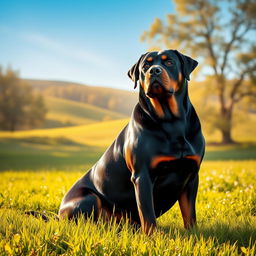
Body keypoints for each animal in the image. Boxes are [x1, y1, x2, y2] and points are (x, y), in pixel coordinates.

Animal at [59, 49, 205, 234]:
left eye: (169, 62)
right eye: (145, 66)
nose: (154, 71)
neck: (172, 121)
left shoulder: (191, 174)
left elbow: (189, 213)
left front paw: (193, 233)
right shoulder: (142, 175)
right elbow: (147, 213)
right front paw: (152, 236)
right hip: (88, 197)